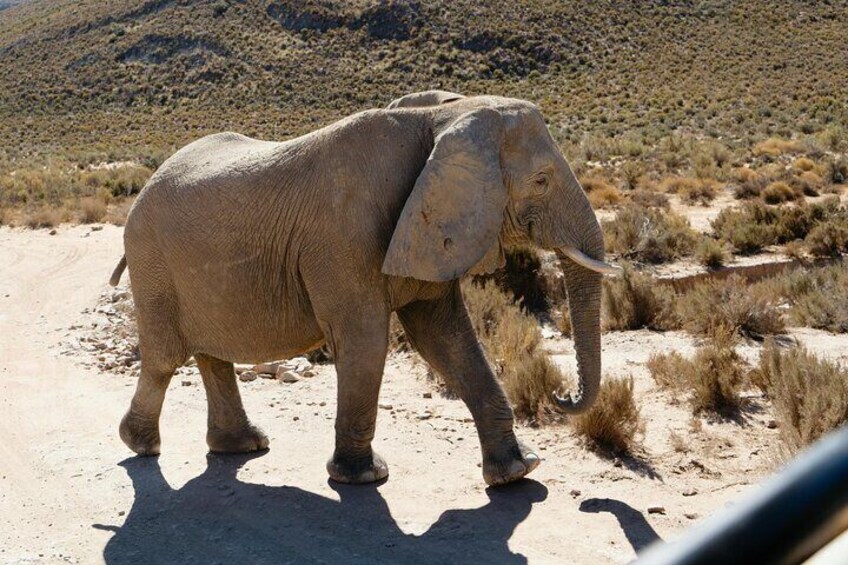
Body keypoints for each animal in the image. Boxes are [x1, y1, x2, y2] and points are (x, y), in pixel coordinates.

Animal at [109, 90, 618, 487]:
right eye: (541, 181)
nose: (560, 397)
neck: (438, 118)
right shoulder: (345, 238)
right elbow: (366, 342)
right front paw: (365, 477)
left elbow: (447, 339)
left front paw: (518, 471)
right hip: (153, 263)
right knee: (164, 358)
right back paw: (141, 445)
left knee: (211, 355)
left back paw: (243, 446)